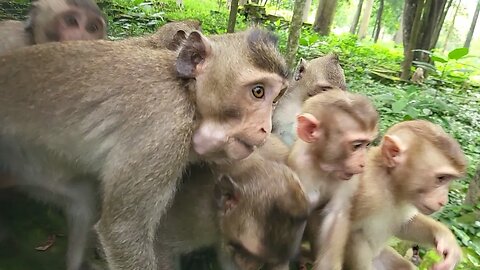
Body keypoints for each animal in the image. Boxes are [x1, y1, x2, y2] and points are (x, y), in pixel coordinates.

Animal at [0, 28, 286, 270]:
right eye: (258, 92)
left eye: (277, 98)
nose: (266, 128)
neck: (187, 93)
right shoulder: (165, 132)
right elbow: (123, 230)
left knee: (82, 200)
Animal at [286, 90, 380, 270]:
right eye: (356, 146)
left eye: (367, 145)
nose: (362, 163)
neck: (323, 165)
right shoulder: (300, 167)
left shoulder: (350, 177)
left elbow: (336, 215)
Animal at [344, 119, 466, 270]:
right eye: (441, 178)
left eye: (449, 180)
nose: (443, 201)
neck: (390, 186)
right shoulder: (366, 192)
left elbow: (405, 226)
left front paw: (446, 239)